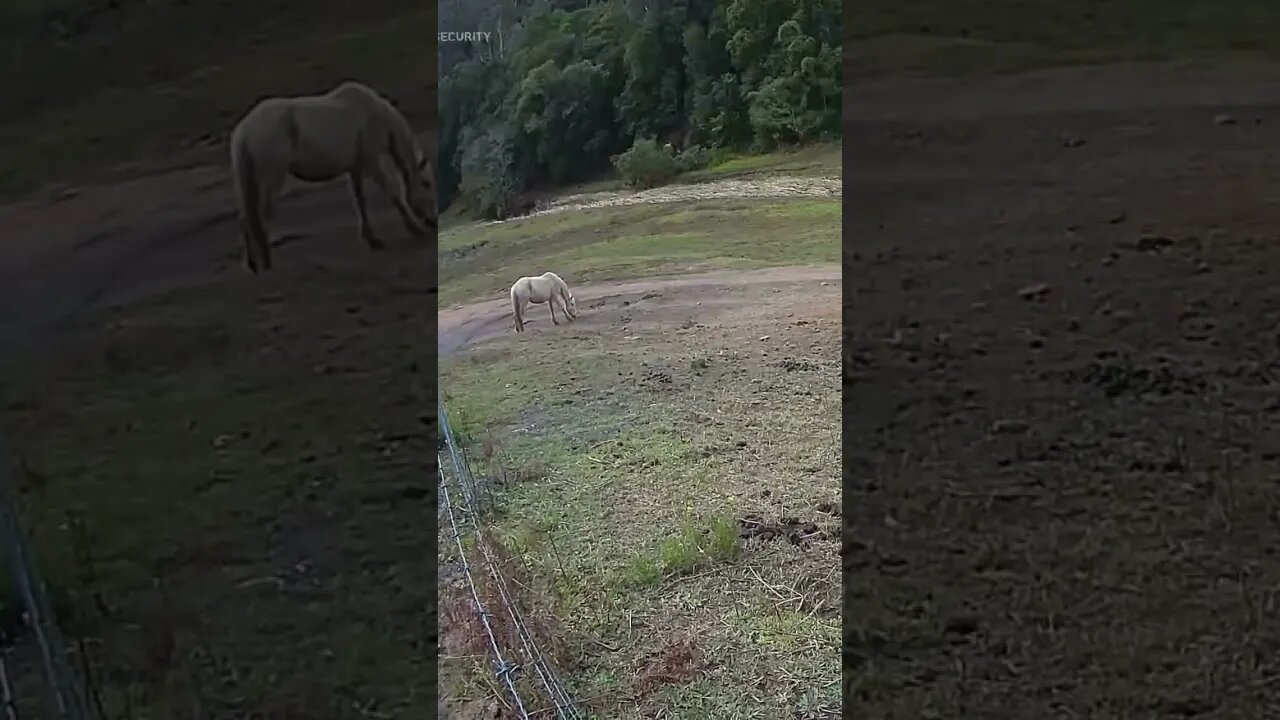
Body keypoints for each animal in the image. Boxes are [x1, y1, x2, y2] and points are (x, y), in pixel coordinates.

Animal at [228, 80, 437, 273]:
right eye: (426, 184)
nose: (433, 221)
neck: (374, 113)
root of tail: (244, 132)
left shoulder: (355, 167)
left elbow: (360, 201)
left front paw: (373, 240)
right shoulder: (372, 160)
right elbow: (393, 193)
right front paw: (415, 229)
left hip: (251, 182)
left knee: (246, 217)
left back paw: (253, 264)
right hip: (272, 178)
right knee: (262, 216)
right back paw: (267, 264)